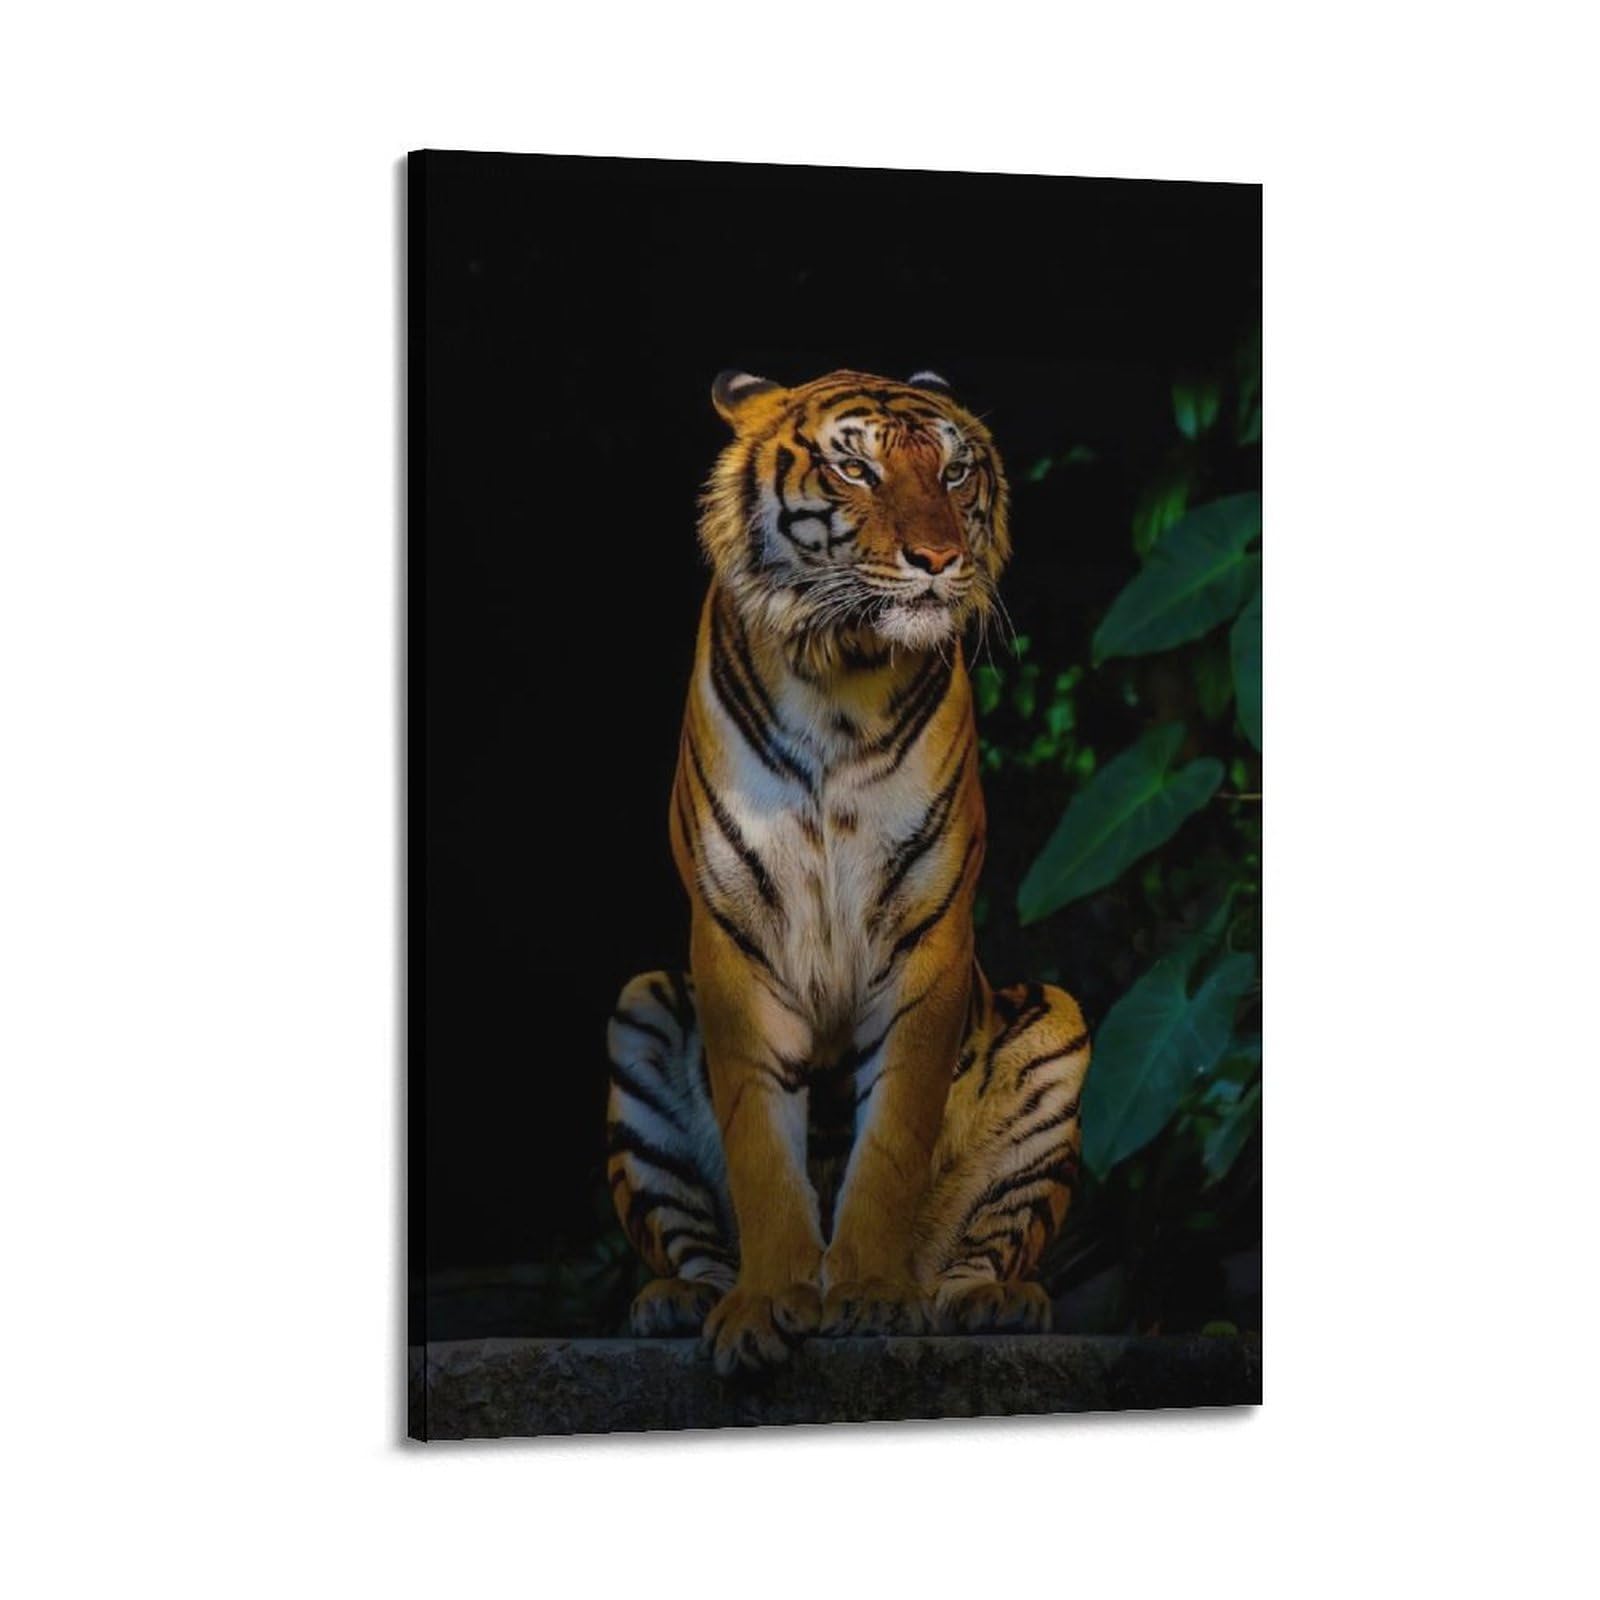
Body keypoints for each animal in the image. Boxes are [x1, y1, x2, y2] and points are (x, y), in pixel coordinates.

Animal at [606, 368, 1091, 1376]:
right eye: (855, 468)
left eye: (954, 471)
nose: (939, 559)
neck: (841, 675)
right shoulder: (734, 937)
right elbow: (759, 1138)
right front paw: (764, 1308)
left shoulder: (927, 931)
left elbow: (893, 1135)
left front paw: (869, 1297)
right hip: (640, 1012)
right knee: (689, 1244)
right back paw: (676, 1302)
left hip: (1055, 1027)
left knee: (982, 1247)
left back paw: (990, 1302)